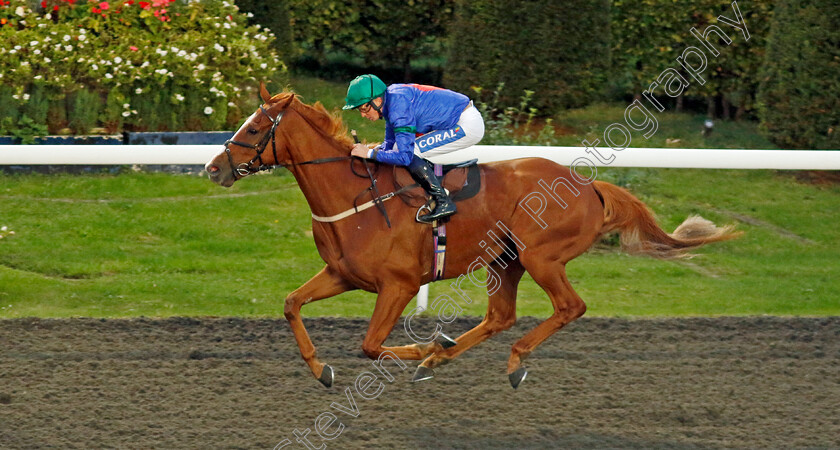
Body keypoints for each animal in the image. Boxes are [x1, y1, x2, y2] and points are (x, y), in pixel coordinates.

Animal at [207, 86, 740, 388]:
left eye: (253, 129)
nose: (213, 168)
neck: (354, 197)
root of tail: (590, 185)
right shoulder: (342, 274)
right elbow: (292, 304)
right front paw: (322, 370)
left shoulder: (399, 285)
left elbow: (372, 345)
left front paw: (425, 348)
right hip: (506, 261)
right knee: (501, 316)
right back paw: (448, 357)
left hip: (541, 257)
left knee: (569, 307)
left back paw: (509, 361)